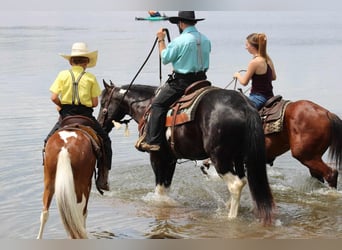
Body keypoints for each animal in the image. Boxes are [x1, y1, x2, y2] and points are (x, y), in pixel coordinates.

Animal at [97, 81, 274, 226]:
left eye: (103, 102)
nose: (100, 124)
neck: (147, 105)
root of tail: (244, 106)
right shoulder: (170, 159)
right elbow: (166, 186)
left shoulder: (157, 156)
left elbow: (160, 189)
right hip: (237, 157)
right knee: (242, 180)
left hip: (220, 157)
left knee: (236, 184)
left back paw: (230, 217)